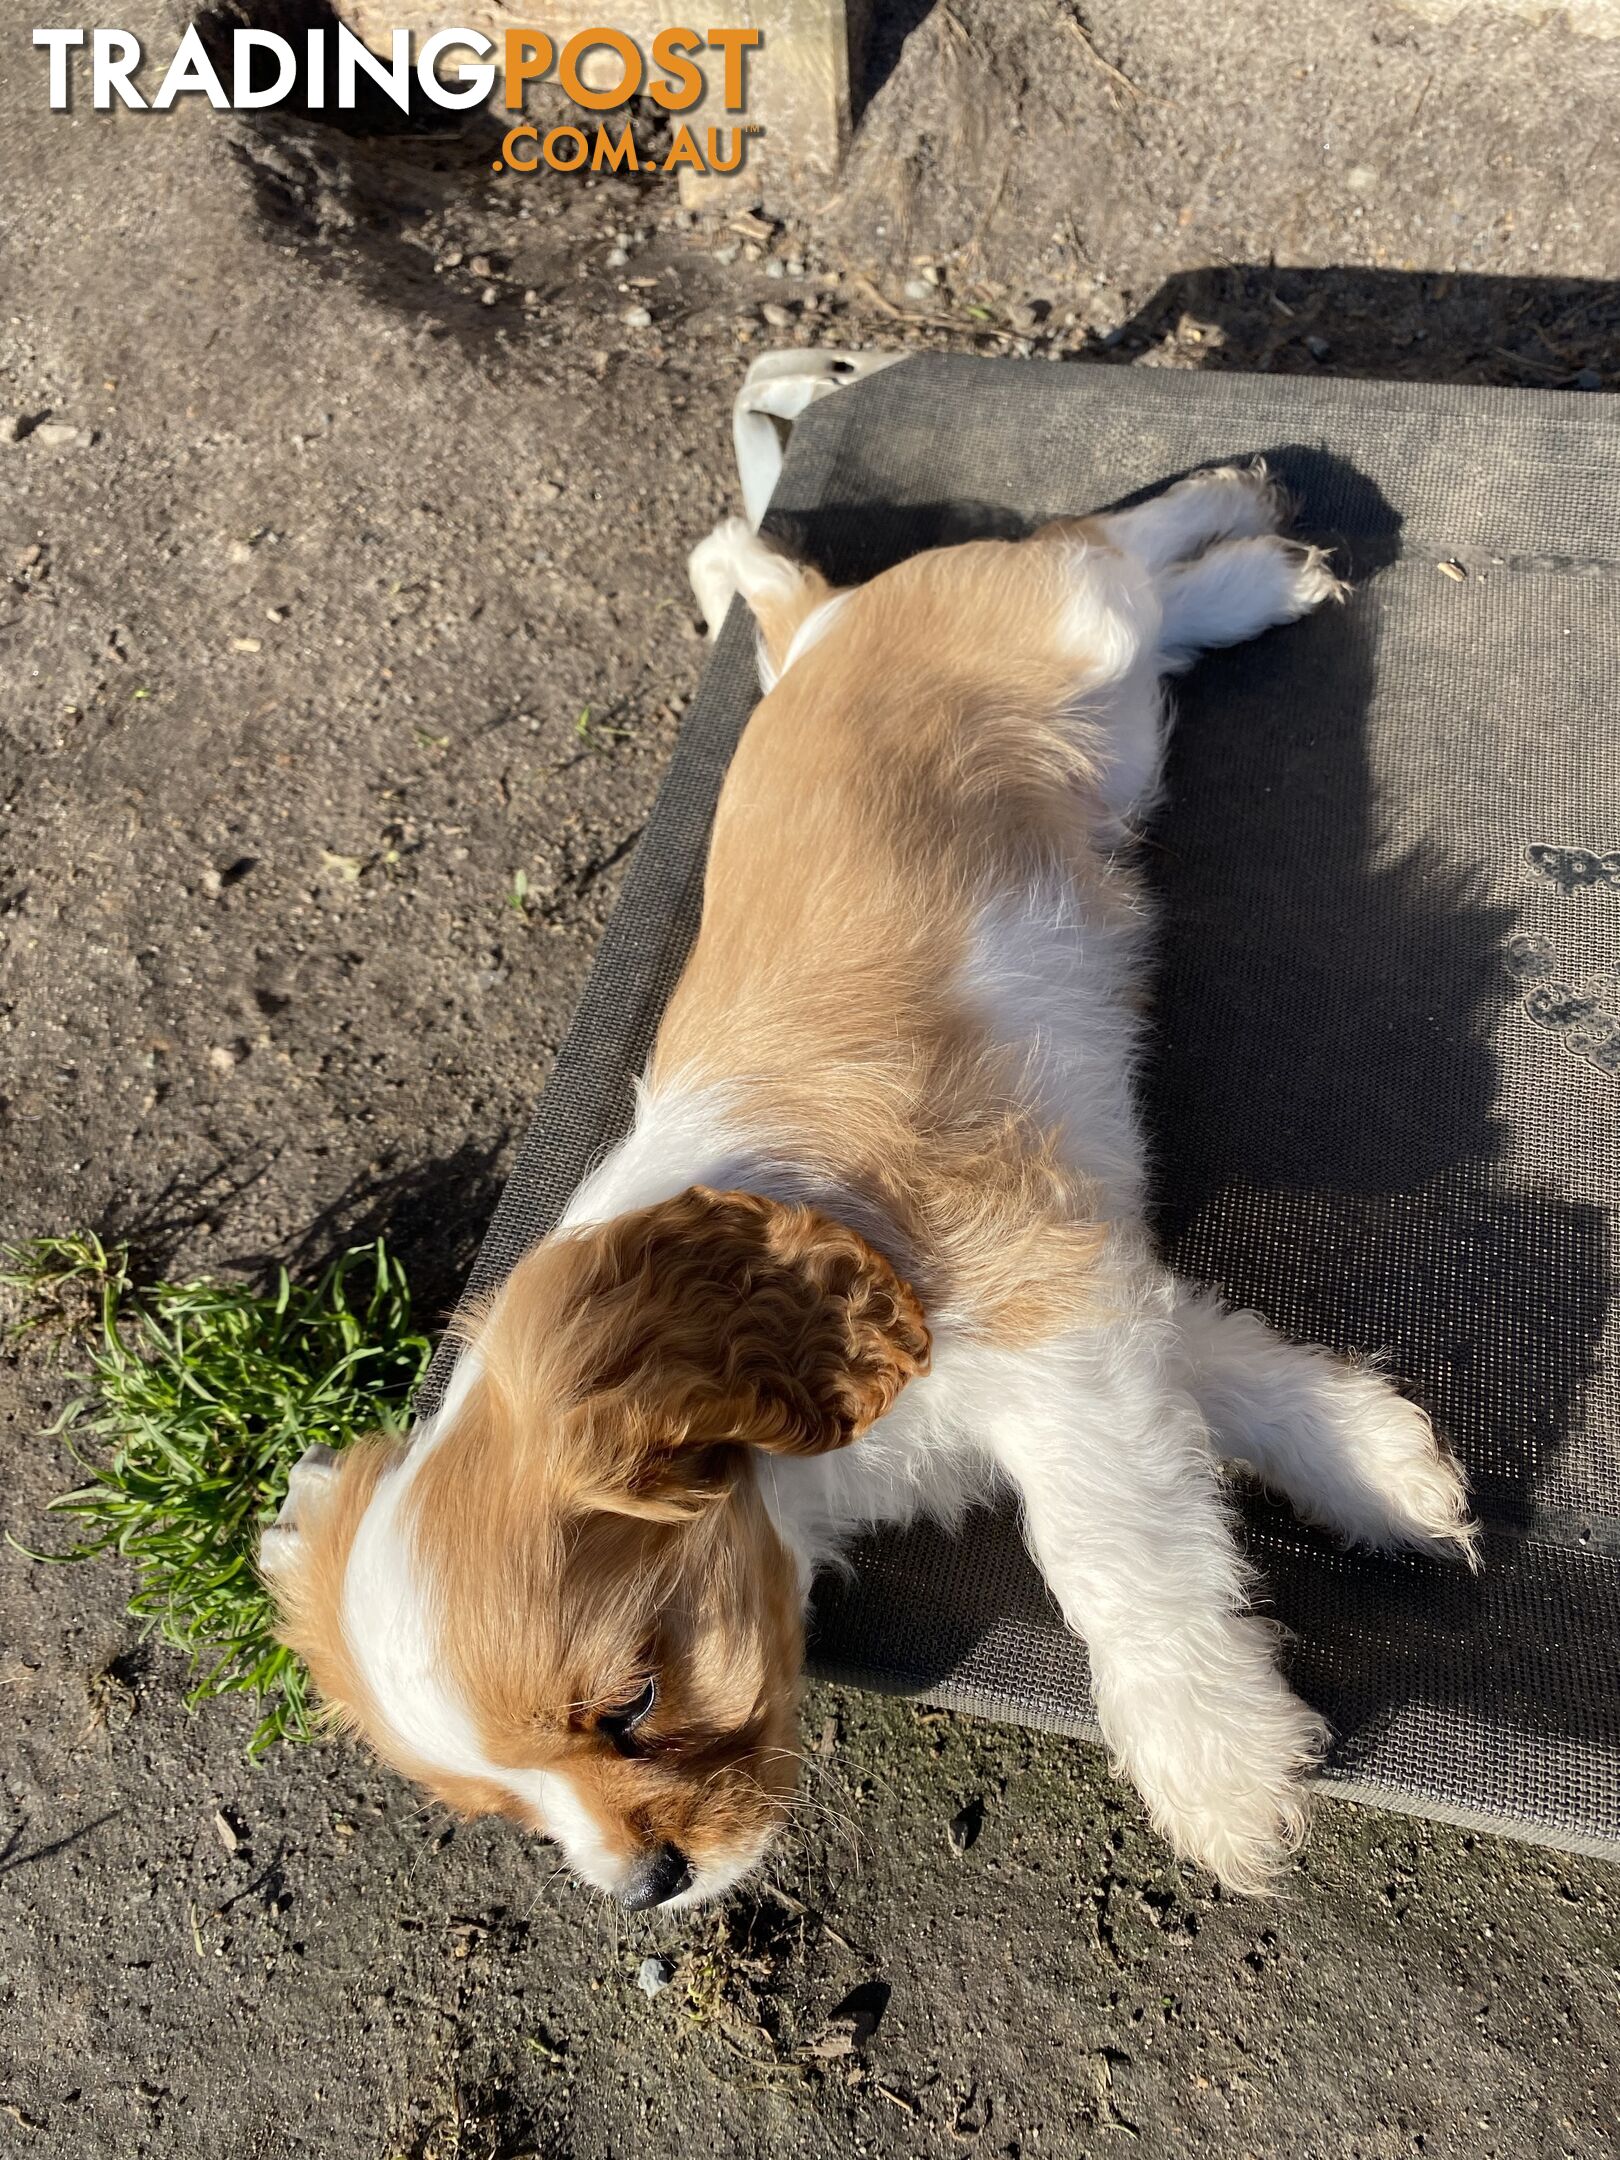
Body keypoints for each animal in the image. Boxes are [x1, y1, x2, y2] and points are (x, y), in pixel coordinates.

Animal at [266, 468, 1486, 1909]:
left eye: (631, 1704)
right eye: (506, 1813)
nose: (644, 1887)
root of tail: (823, 629)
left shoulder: (1049, 1332)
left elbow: (1116, 1552)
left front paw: (1216, 1766)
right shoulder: (1085, 1276)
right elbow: (1220, 1362)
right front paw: (1378, 1466)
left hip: (1073, 632)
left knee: (1106, 543)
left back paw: (1252, 538)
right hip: (1110, 713)